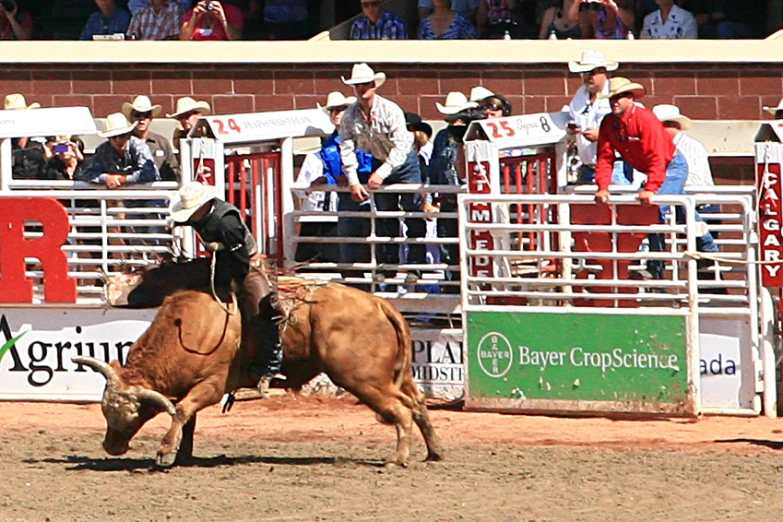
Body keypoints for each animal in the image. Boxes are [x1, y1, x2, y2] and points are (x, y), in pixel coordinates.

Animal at [82, 258, 444, 466]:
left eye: (131, 412)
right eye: (105, 410)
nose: (110, 446)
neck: (192, 326)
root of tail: (379, 304)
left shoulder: (214, 385)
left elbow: (183, 410)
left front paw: (165, 452)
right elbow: (187, 418)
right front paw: (183, 452)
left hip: (362, 378)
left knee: (400, 409)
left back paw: (397, 458)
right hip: (396, 375)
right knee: (418, 403)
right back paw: (434, 451)